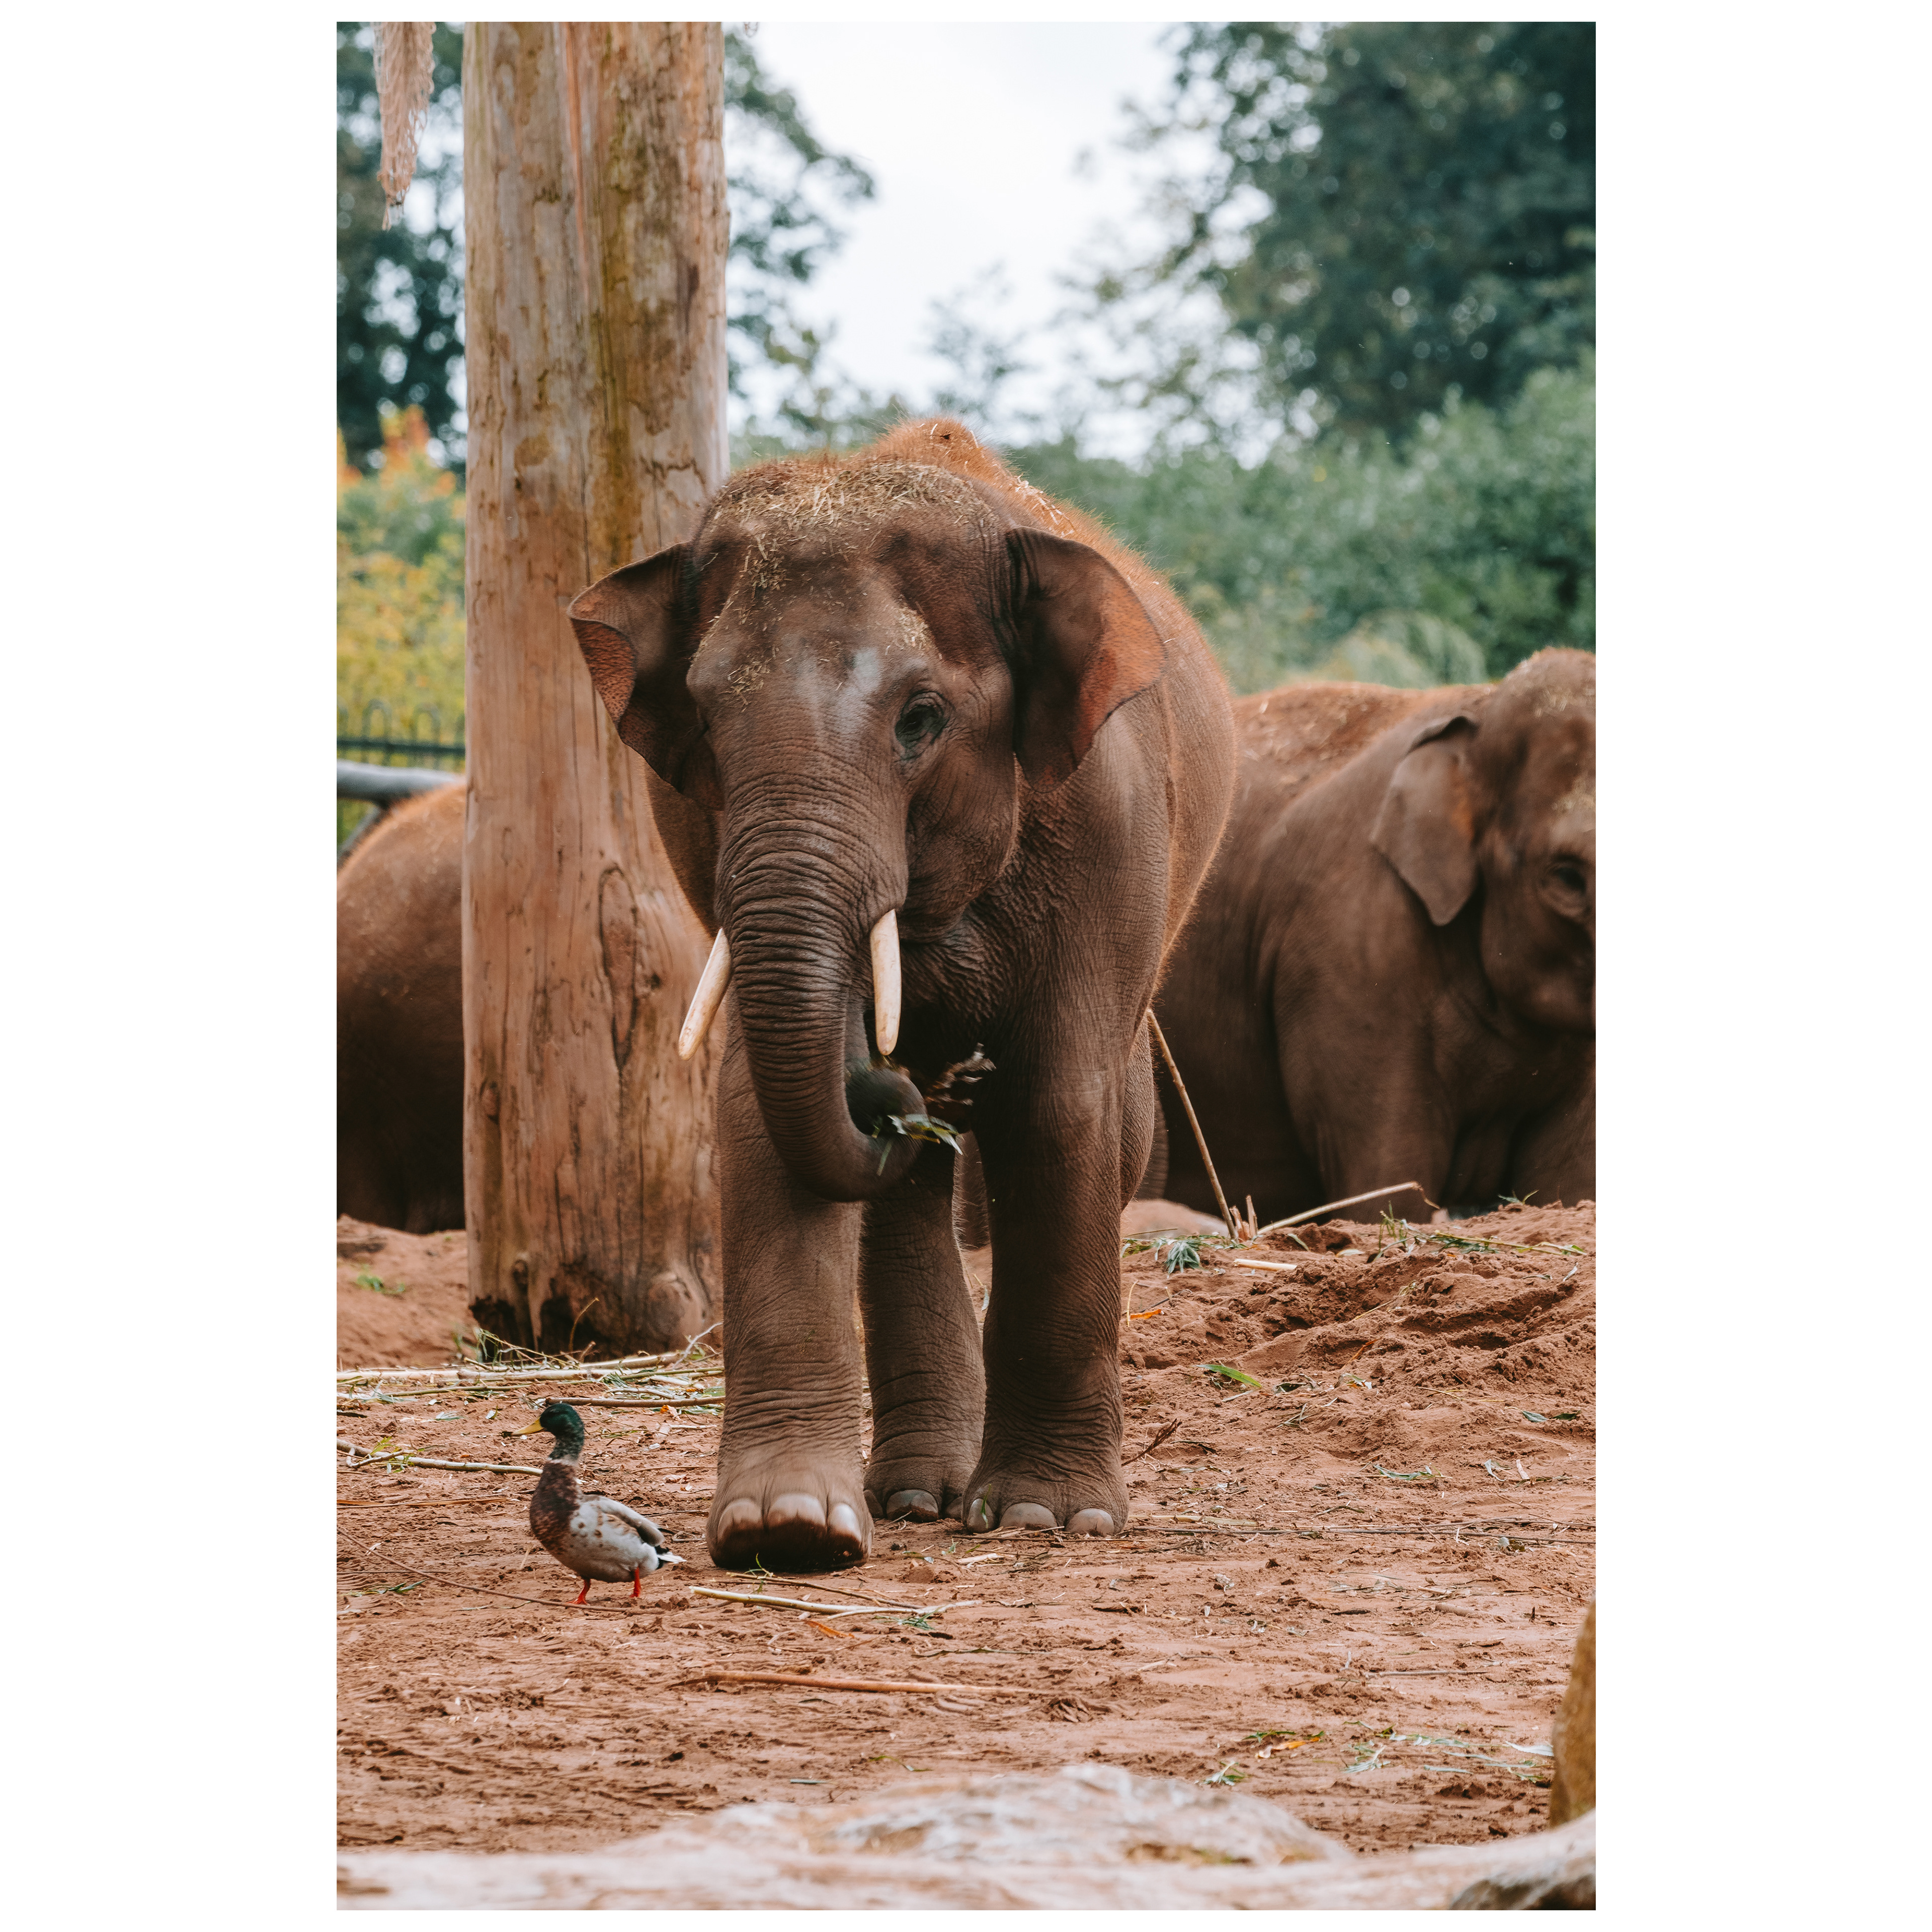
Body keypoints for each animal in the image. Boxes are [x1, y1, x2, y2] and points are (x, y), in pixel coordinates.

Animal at [568, 417, 1236, 1570]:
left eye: (921, 718)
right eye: (702, 717)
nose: (917, 1086)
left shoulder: (1107, 831)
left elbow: (1060, 1109)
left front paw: (1046, 1519)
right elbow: (758, 1114)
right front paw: (791, 1531)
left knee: (1107, 1127)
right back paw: (921, 1495)